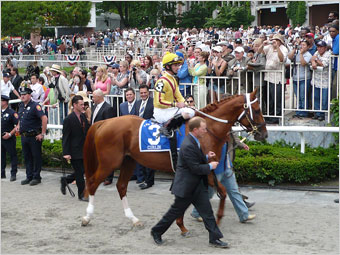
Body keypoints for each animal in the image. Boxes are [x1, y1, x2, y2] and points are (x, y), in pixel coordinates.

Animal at [81, 90, 266, 235]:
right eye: (257, 110)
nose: (263, 133)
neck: (208, 130)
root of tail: (104, 122)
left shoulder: (206, 170)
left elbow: (219, 191)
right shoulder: (200, 168)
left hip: (128, 161)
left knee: (121, 186)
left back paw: (134, 219)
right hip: (109, 163)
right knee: (92, 182)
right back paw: (87, 217)